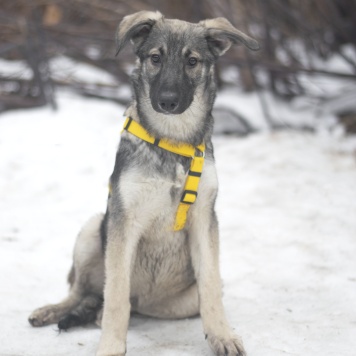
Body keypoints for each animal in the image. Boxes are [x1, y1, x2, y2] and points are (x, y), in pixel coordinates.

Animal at [28, 11, 258, 356]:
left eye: (192, 61)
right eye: (155, 58)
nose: (168, 102)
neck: (172, 142)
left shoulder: (205, 219)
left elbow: (210, 288)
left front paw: (222, 336)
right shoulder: (124, 221)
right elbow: (116, 294)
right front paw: (111, 347)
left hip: (178, 300)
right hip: (92, 230)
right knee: (82, 291)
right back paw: (52, 310)